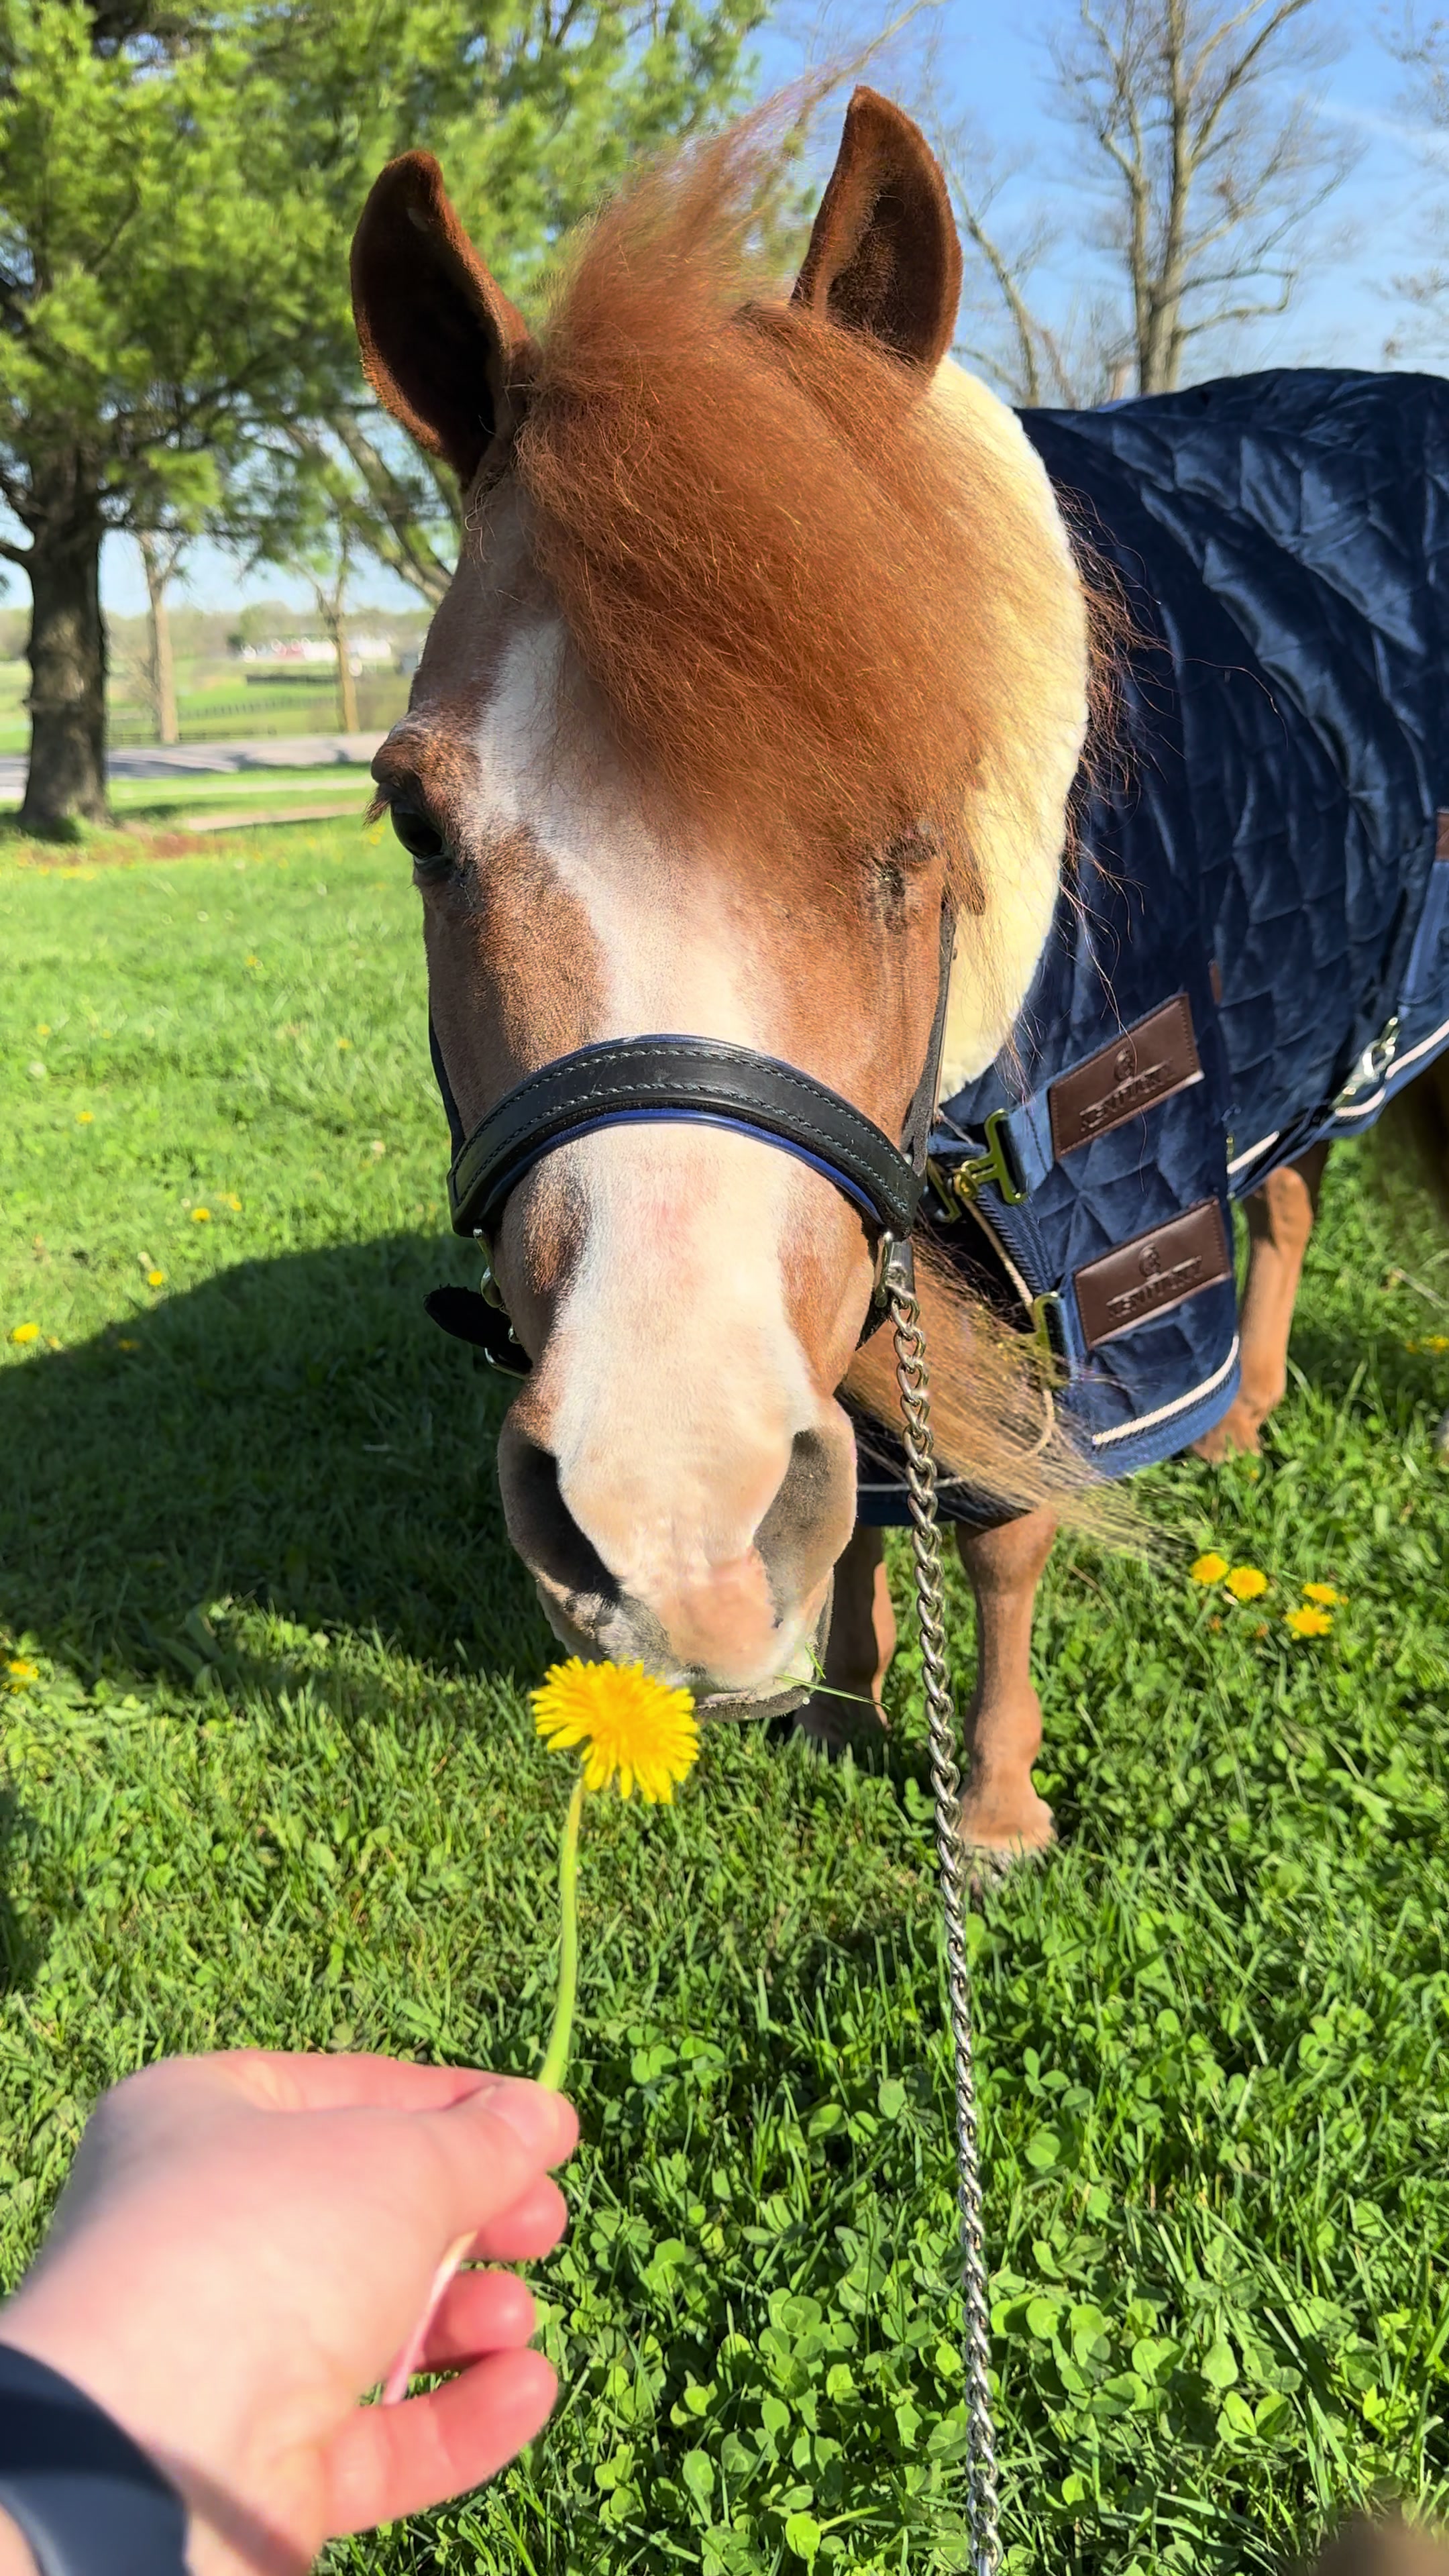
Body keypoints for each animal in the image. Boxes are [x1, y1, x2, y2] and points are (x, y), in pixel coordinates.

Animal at [350, 89, 1449, 1859]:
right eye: (414, 816)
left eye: (922, 811)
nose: (667, 1518)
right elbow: (867, 1478)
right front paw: (844, 1698)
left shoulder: (1098, 1234)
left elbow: (1001, 1524)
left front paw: (992, 1800)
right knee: (1287, 1194)